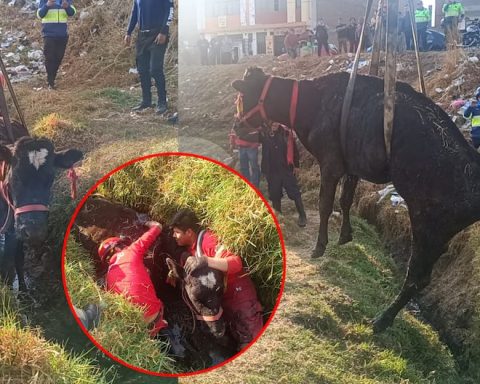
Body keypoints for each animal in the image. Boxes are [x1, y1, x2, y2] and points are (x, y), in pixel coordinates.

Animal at [0, 121, 83, 290]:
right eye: (16, 177)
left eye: (51, 177)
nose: (34, 232)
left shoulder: (14, 227)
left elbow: (17, 259)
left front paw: (23, 290)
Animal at [232, 68, 480, 332]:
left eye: (241, 97)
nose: (236, 127)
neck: (309, 104)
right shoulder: (352, 165)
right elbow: (345, 200)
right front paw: (345, 235)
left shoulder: (330, 162)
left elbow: (325, 204)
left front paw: (320, 246)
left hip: (428, 222)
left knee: (417, 277)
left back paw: (382, 320)